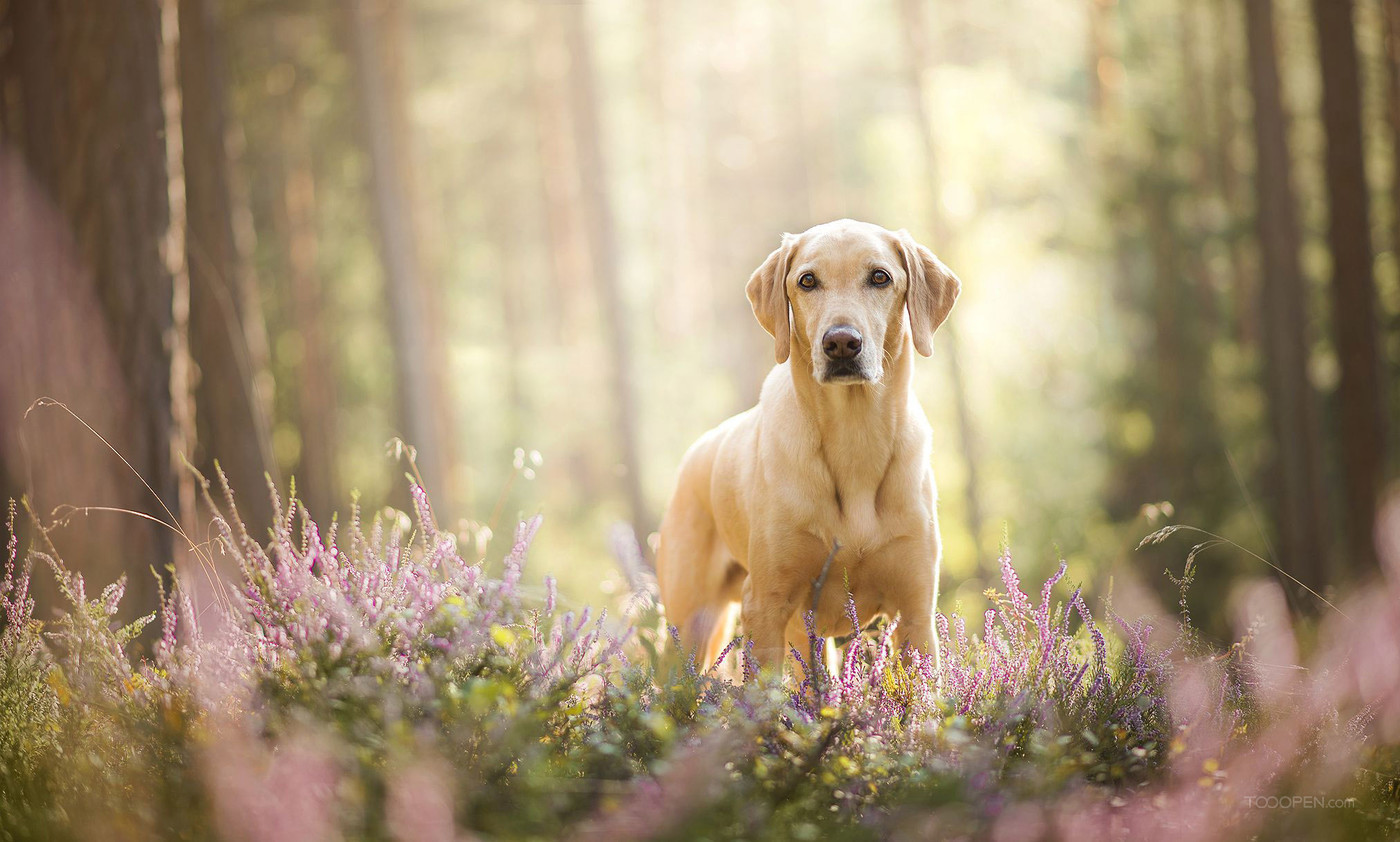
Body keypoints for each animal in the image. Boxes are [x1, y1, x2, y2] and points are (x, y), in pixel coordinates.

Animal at [655, 218, 963, 675]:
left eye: (880, 277)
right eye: (807, 281)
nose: (841, 343)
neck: (854, 436)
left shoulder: (916, 613)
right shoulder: (767, 603)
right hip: (691, 623)